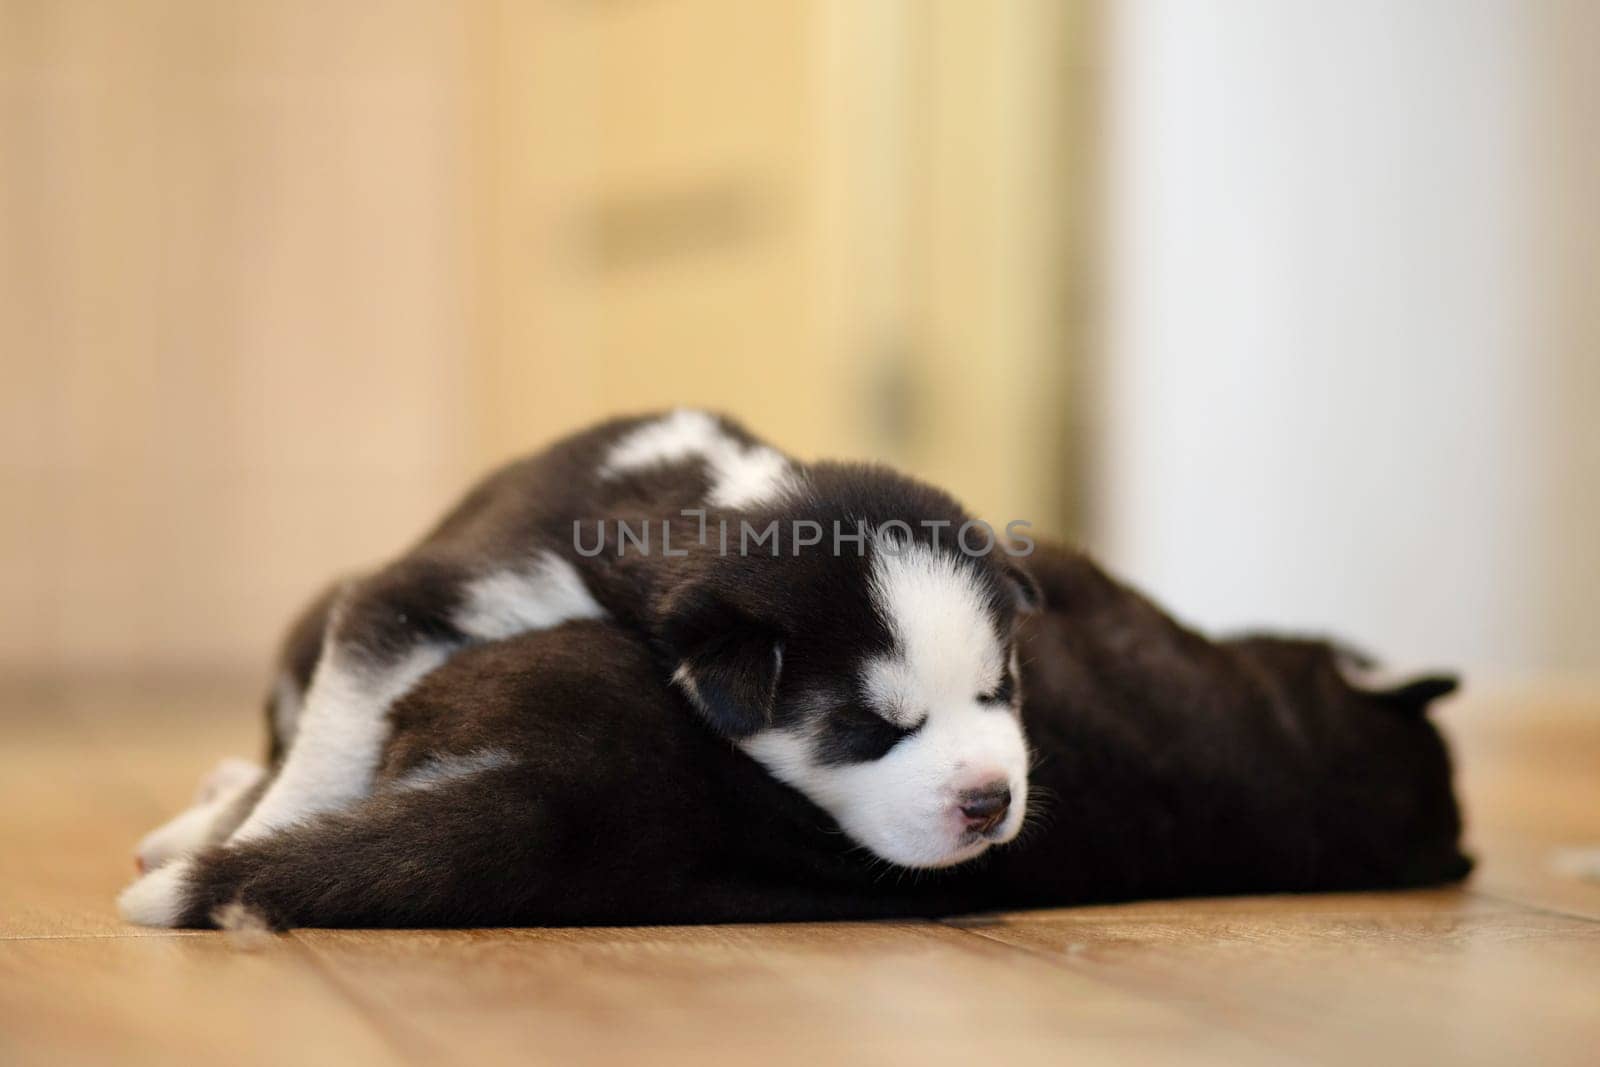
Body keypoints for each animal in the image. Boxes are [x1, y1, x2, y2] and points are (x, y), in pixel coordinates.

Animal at [118, 412, 1036, 921]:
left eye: (1001, 689)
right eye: (867, 728)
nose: (990, 801)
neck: (704, 496)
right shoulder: (421, 596)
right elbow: (328, 751)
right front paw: (260, 837)